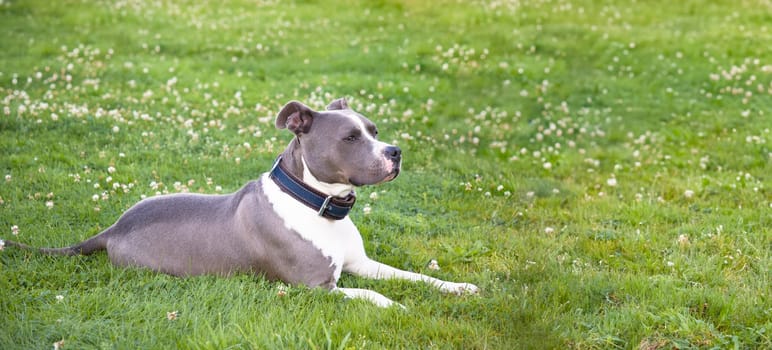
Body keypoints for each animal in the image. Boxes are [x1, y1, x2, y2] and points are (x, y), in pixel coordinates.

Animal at [3, 98, 480, 306]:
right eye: (349, 137)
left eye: (375, 130)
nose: (395, 152)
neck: (317, 204)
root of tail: (112, 229)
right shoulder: (316, 287)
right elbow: (371, 294)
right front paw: (396, 306)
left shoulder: (362, 264)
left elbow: (415, 276)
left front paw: (457, 288)